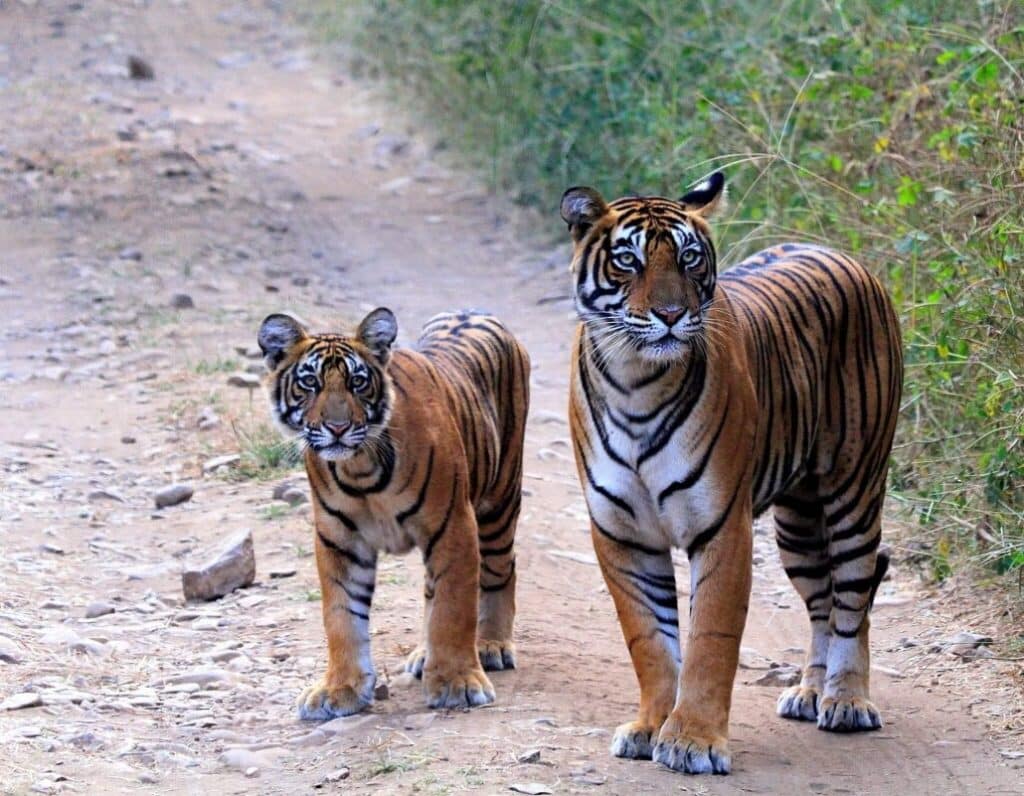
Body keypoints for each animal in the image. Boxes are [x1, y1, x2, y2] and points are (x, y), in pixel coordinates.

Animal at [258, 307, 530, 718]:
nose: (337, 428)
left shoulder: (453, 525)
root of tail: (471, 311)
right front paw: (339, 689)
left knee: (500, 571)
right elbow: (342, 616)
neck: (360, 468)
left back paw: (491, 645)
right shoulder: (339, 541)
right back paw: (424, 655)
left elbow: (453, 608)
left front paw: (458, 684)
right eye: (309, 383)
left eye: (357, 382)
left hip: (499, 502)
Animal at [560, 171, 902, 774]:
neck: (635, 379)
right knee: (822, 600)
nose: (671, 315)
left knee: (853, 595)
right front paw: (651, 726)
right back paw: (809, 692)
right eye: (629, 260)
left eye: (690, 258)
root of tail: (841, 253)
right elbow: (649, 639)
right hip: (797, 522)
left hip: (853, 490)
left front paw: (692, 740)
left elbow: (710, 640)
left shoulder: (722, 525)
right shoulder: (621, 532)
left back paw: (846, 700)